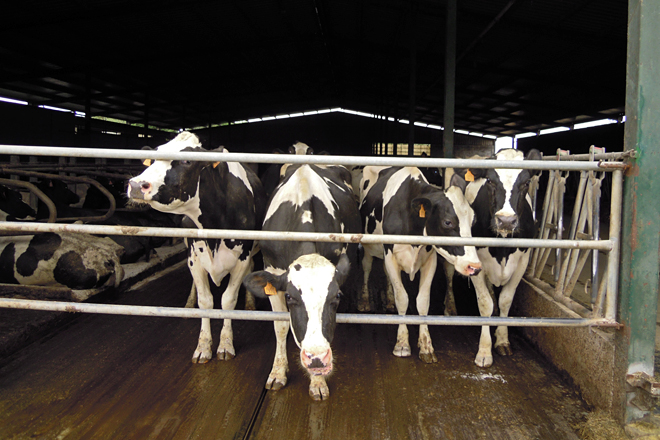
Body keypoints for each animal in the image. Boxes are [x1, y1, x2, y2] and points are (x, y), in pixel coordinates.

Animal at [127, 131, 266, 363]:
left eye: (187, 161)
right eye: (153, 157)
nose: (137, 185)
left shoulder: (242, 257)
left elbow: (228, 300)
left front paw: (225, 344)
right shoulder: (195, 258)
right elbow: (205, 301)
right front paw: (203, 346)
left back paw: (249, 303)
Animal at [242, 162, 361, 400]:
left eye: (337, 296)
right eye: (289, 296)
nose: (316, 358)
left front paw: (318, 381)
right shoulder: (272, 270)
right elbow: (280, 326)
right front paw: (278, 371)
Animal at [359, 166, 482, 363]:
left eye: (474, 220)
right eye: (448, 222)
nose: (474, 266)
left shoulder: (430, 260)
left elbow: (423, 301)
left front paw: (426, 346)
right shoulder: (390, 256)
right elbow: (402, 298)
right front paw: (402, 344)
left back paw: (389, 300)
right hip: (369, 246)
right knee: (367, 267)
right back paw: (363, 301)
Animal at [444, 148, 542, 367]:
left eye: (526, 183)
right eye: (489, 181)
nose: (505, 220)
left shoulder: (522, 261)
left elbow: (505, 300)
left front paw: (503, 340)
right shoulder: (475, 261)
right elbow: (484, 303)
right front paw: (484, 351)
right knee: (449, 278)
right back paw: (450, 308)